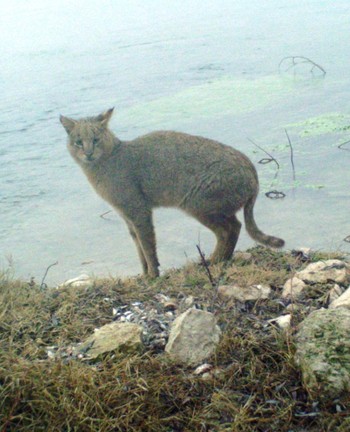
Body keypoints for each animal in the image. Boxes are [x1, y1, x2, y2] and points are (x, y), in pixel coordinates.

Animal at [60, 106, 284, 278]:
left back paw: (214, 261)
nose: (88, 153)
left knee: (229, 230)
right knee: (234, 227)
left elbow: (148, 247)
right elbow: (139, 249)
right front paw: (144, 274)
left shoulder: (139, 212)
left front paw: (153, 275)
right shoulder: (128, 218)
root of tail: (251, 168)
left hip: (198, 204)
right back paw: (220, 259)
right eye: (78, 142)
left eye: (96, 139)